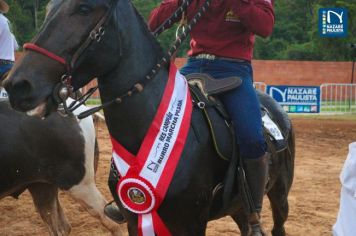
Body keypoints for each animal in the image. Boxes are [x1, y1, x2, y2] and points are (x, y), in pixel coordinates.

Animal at [4, 0, 294, 235]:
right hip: (238, 207)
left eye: (84, 8)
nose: (18, 85)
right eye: (49, 9)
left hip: (278, 195)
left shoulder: (191, 223)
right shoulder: (135, 219)